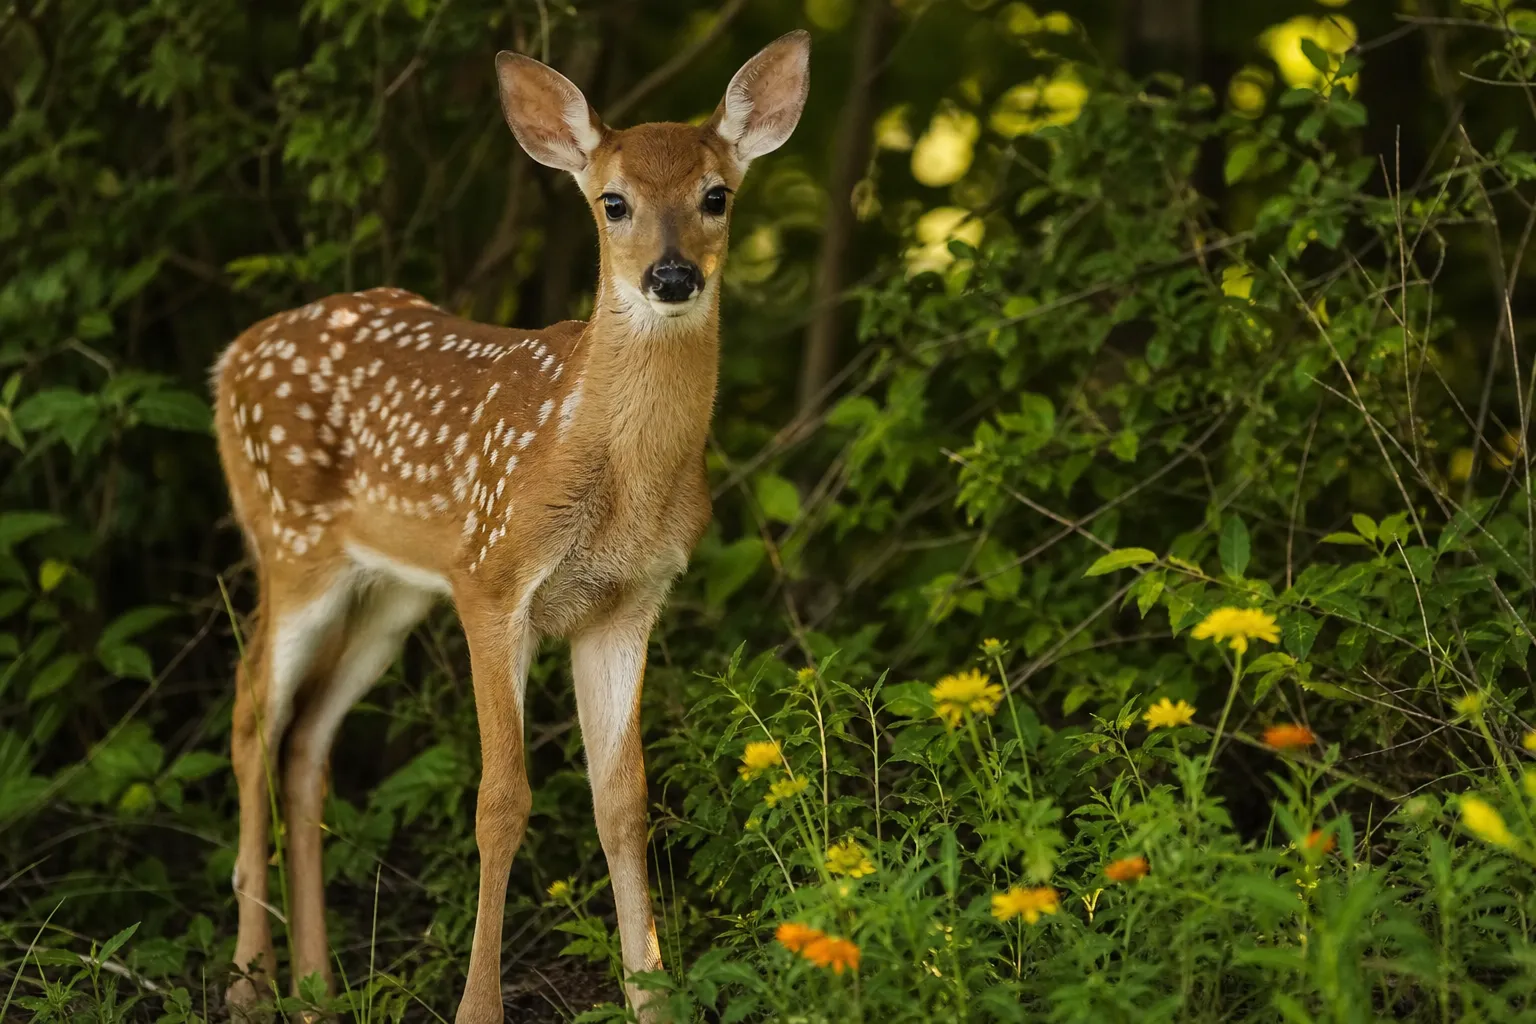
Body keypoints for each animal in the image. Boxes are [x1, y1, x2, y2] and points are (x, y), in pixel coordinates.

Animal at [211, 31, 810, 1023]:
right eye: (614, 202)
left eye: (716, 196)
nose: (672, 277)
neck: (609, 469)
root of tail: (227, 359)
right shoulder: (495, 579)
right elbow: (502, 800)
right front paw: (477, 1008)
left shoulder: (626, 603)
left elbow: (623, 802)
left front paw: (651, 996)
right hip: (292, 548)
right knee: (252, 715)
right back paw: (249, 982)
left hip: (392, 594)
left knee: (306, 741)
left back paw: (317, 985)